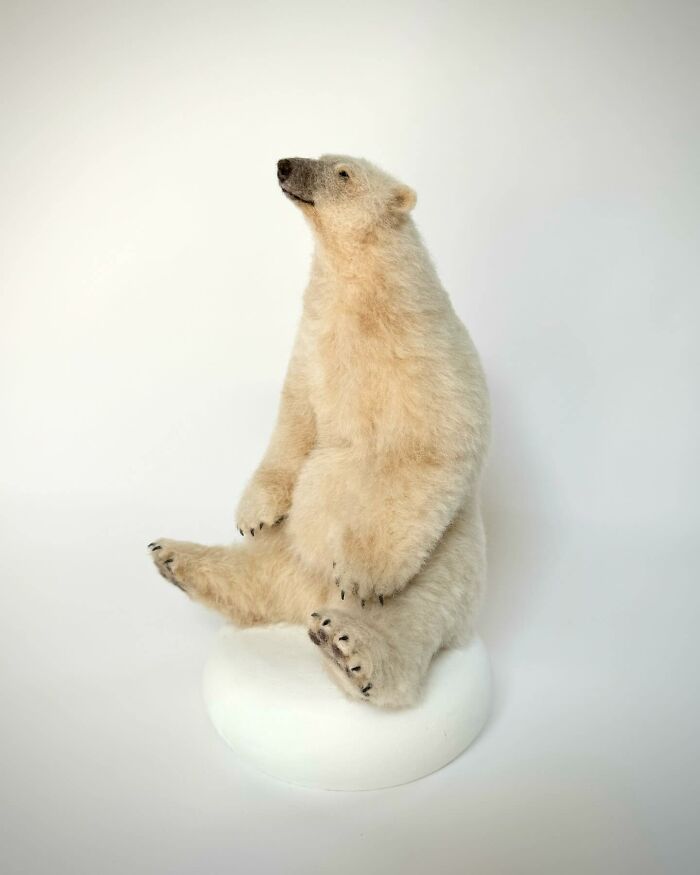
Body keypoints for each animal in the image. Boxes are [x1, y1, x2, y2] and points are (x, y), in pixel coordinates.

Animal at [148, 154, 490, 707]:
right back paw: (177, 558)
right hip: (295, 546)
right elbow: (297, 420)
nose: (284, 163)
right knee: (260, 571)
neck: (364, 302)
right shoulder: (312, 345)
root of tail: (312, 595)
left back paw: (349, 647)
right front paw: (253, 513)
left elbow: (430, 447)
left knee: (414, 612)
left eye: (343, 171)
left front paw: (361, 574)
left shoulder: (426, 350)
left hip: (448, 561)